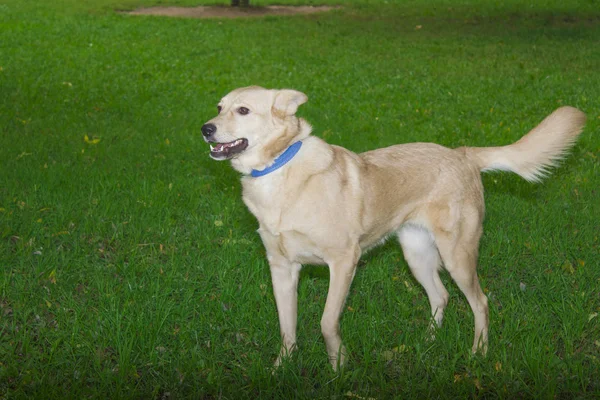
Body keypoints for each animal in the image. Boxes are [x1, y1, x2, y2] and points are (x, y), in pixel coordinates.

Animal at [199, 86, 584, 370]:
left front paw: (338, 369)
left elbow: (327, 323)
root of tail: (462, 154)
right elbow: (287, 327)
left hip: (457, 256)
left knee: (481, 303)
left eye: (243, 110)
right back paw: (426, 343)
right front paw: (282, 369)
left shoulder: (344, 263)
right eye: (219, 107)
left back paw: (478, 353)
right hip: (416, 255)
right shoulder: (281, 269)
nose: (206, 128)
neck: (278, 171)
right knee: (440, 296)